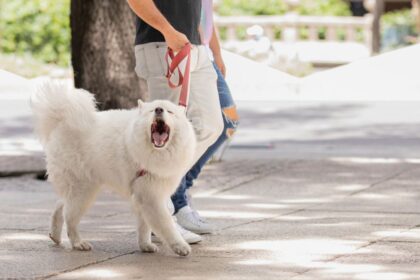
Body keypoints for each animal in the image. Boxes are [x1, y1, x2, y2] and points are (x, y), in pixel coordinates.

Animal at [30, 81, 198, 256]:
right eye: (152, 110)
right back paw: (78, 243)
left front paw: (145, 245)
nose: (159, 110)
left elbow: (144, 226)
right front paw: (180, 246)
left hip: (82, 188)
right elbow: (166, 225)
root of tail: (61, 122)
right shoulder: (151, 197)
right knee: (70, 217)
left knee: (60, 206)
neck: (156, 152)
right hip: (83, 190)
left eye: (170, 112)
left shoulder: (144, 195)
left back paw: (55, 235)